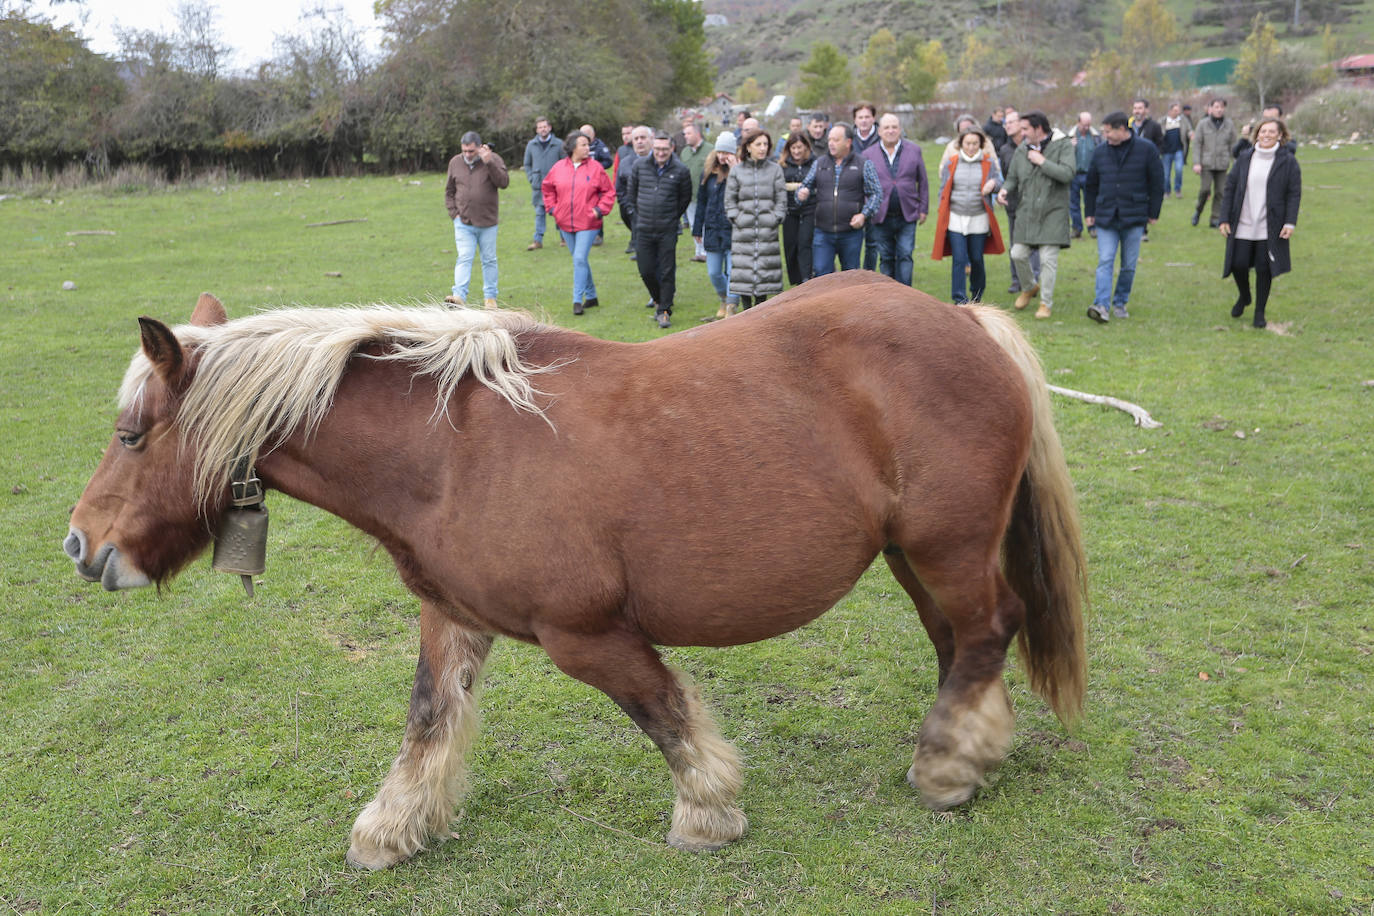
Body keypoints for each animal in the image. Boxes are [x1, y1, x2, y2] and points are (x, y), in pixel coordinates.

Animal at [66, 276, 1082, 873]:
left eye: (131, 435)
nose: (80, 545)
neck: (451, 451)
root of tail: (962, 318)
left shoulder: (587, 637)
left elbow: (663, 712)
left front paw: (709, 811)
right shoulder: (452, 616)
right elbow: (428, 721)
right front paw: (393, 827)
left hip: (946, 549)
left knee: (987, 630)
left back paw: (947, 766)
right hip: (916, 557)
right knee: (964, 642)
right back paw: (970, 745)